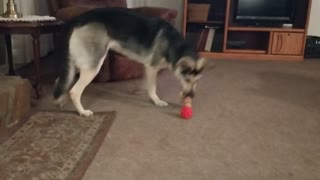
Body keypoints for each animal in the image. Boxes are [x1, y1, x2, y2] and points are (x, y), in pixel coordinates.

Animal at [53, 7, 208, 116]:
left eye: (196, 81)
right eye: (187, 79)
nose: (191, 97)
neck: (174, 45)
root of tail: (77, 19)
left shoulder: (147, 68)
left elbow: (146, 84)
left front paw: (140, 91)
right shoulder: (152, 68)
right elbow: (153, 87)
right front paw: (156, 100)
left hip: (78, 64)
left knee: (60, 80)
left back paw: (61, 101)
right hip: (93, 66)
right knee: (74, 91)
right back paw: (82, 112)